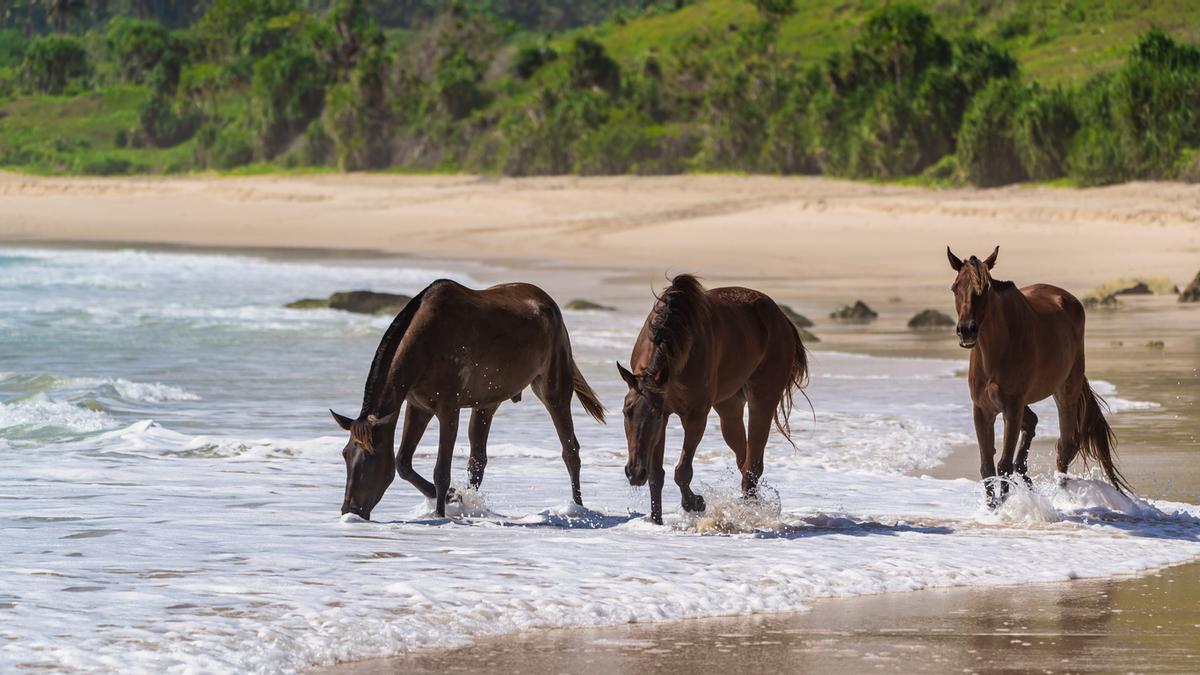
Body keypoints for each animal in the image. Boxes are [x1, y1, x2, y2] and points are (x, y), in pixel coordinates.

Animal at [331, 279, 606, 520]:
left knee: (570, 451)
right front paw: (454, 497)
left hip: (553, 389)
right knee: (478, 461)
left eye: (371, 457)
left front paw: (441, 513)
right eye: (345, 454)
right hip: (486, 404)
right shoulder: (418, 407)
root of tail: (549, 303)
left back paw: (579, 508)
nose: (349, 510)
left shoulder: (448, 409)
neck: (425, 342)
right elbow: (403, 464)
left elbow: (441, 471)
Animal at [616, 274, 809, 525]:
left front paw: (695, 502)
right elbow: (656, 475)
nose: (634, 473)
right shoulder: (665, 413)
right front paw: (656, 520)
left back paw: (748, 514)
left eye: (654, 416)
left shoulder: (693, 415)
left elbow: (683, 471)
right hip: (729, 407)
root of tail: (781, 318)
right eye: (625, 412)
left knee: (753, 465)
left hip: (763, 399)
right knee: (744, 460)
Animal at [947, 246, 1130, 507]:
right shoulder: (982, 410)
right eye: (955, 288)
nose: (966, 331)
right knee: (1032, 425)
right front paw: (993, 508)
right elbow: (987, 467)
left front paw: (1004, 507)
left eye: (985, 290)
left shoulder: (1012, 409)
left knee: (1065, 448)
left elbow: (1002, 465)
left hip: (1065, 392)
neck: (996, 351)